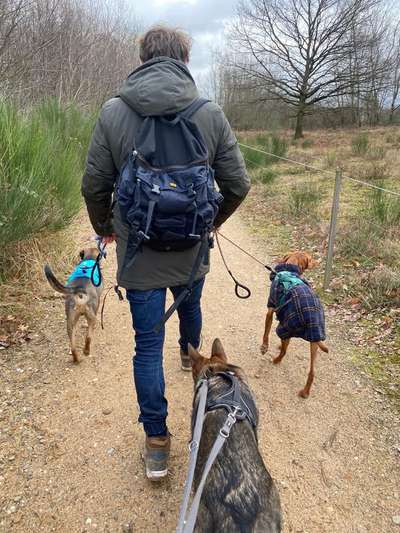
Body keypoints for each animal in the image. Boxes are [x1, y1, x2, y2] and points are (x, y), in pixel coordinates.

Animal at [262, 251, 328, 396]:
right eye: (310, 258)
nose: (317, 262)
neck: (290, 271)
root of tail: (313, 318)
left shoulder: (270, 310)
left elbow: (266, 333)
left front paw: (264, 347)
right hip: (313, 342)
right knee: (312, 372)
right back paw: (305, 392)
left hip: (284, 328)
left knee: (284, 351)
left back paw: (276, 360)